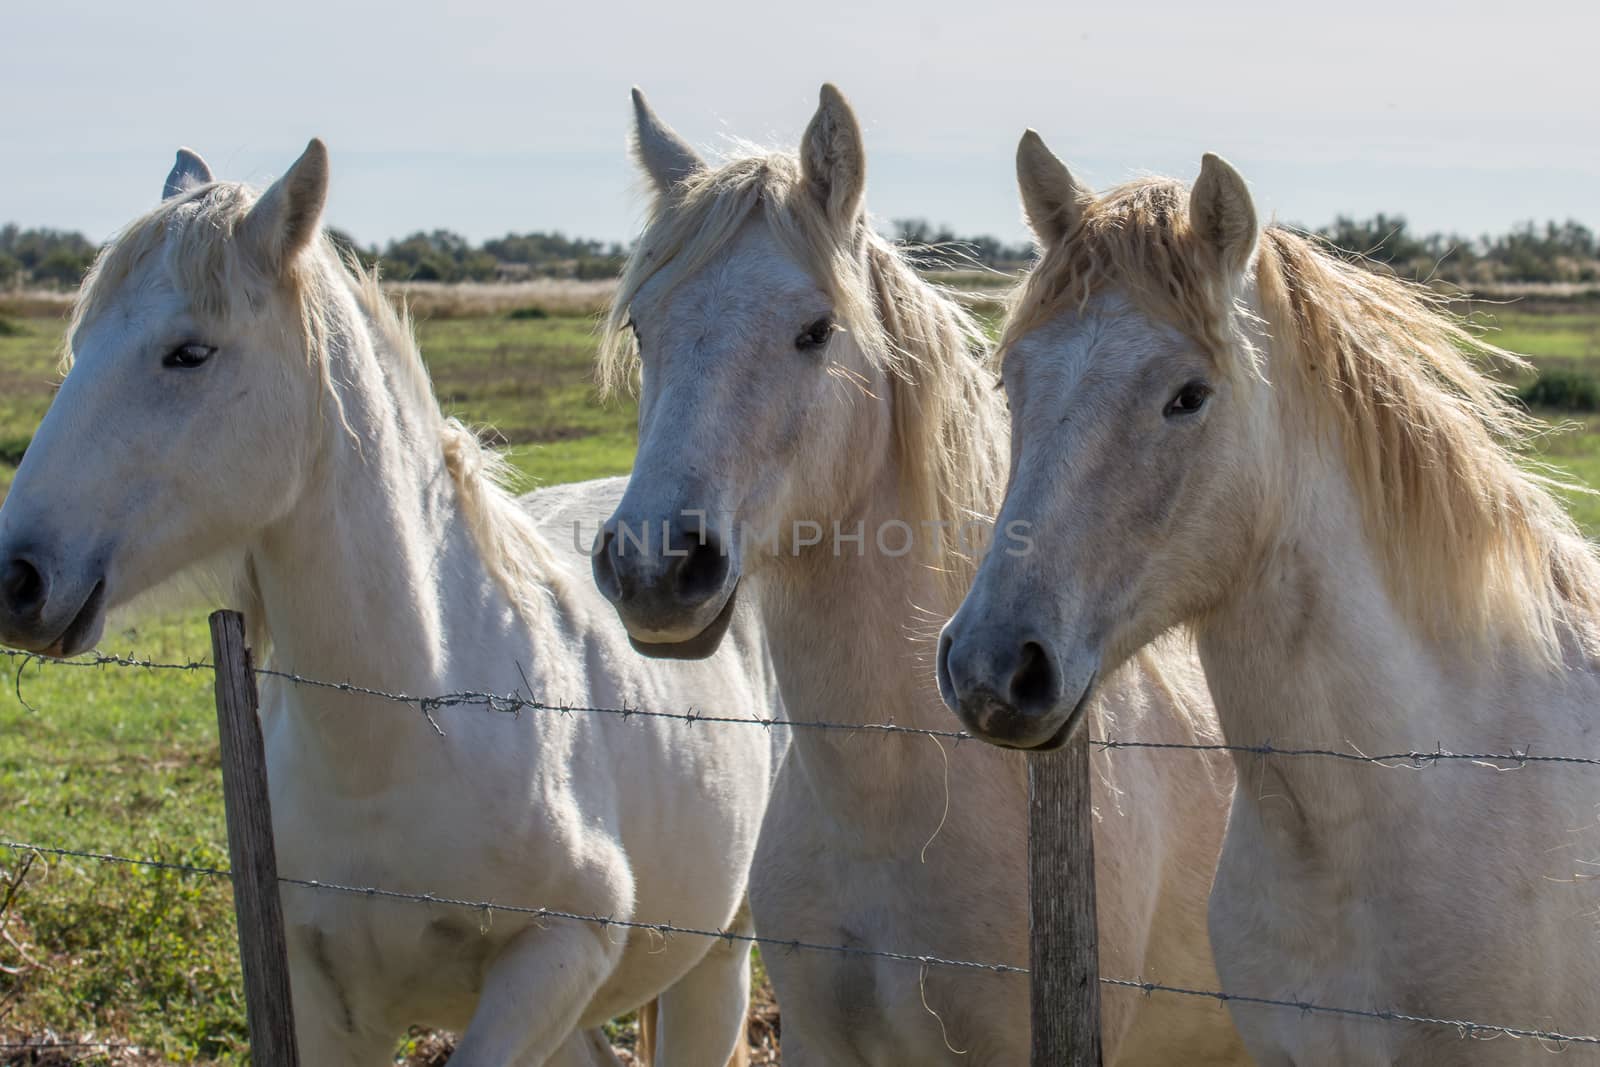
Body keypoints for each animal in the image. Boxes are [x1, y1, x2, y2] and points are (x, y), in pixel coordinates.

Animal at [0, 143, 780, 1067]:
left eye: (188, 353)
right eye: (81, 343)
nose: (15, 577)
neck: (404, 733)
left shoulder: (553, 958)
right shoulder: (332, 1006)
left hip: (716, 960)